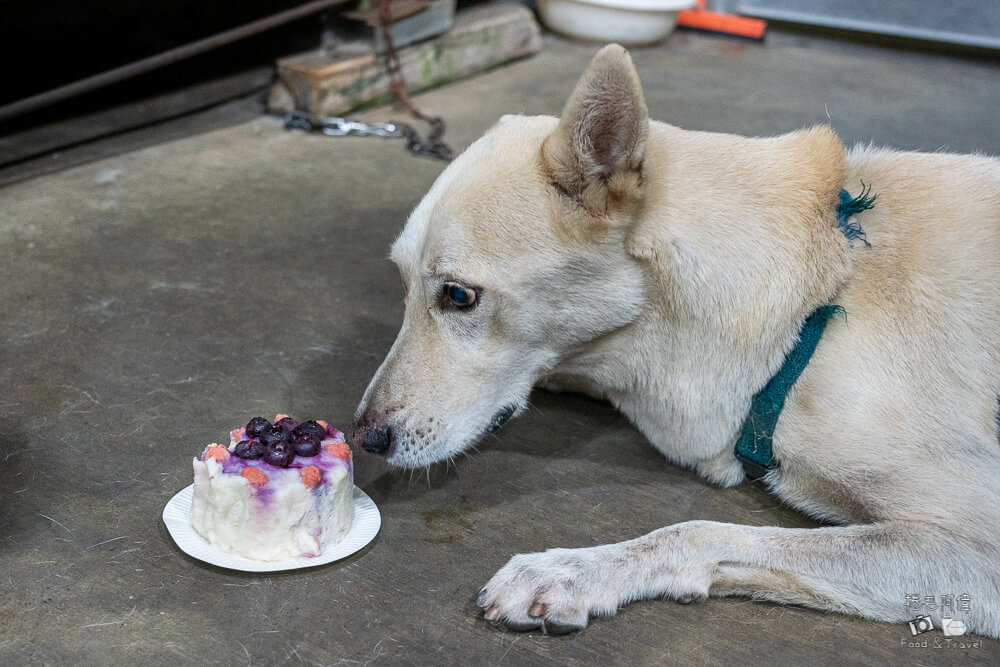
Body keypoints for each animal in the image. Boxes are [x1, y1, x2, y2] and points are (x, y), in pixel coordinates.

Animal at [352, 44, 1000, 640]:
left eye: (459, 296)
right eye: (402, 283)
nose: (364, 438)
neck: (814, 306)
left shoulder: (977, 550)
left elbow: (697, 531)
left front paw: (572, 571)